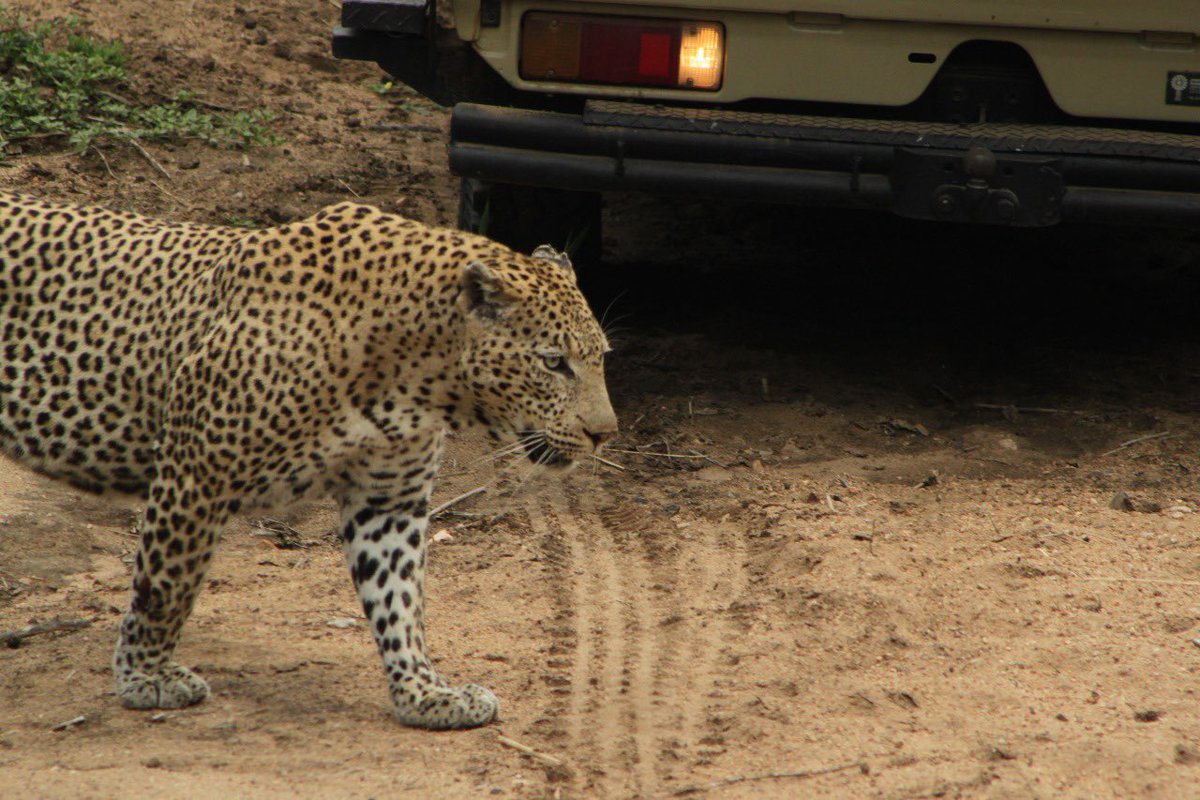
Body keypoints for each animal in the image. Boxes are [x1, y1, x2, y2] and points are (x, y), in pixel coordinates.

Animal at [0, 191, 617, 729]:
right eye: (553, 362)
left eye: (601, 357)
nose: (604, 434)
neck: (415, 378)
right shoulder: (194, 476)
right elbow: (165, 587)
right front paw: (144, 678)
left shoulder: (388, 500)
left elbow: (399, 600)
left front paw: (424, 693)